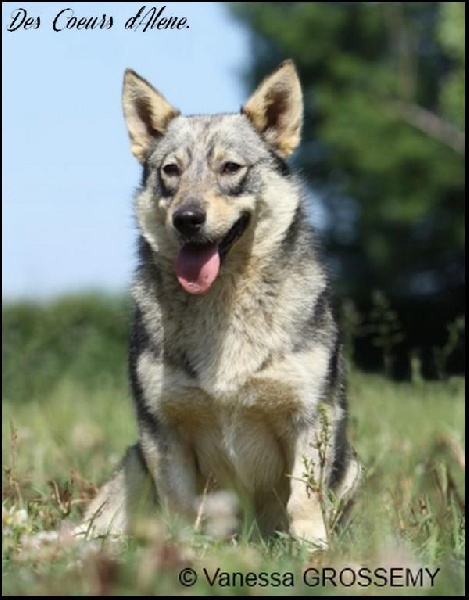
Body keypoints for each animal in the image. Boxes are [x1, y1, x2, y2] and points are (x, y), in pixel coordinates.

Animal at [78, 62, 360, 548]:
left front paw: (312, 554)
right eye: (170, 171)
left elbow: (303, 502)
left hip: (352, 465)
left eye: (230, 168)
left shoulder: (309, 420)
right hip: (133, 464)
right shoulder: (162, 431)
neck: (223, 304)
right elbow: (179, 506)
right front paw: (180, 554)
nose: (187, 219)